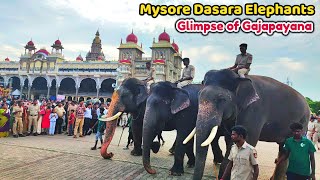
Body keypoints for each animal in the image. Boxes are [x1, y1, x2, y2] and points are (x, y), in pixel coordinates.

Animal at [184, 69, 312, 180]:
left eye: (221, 99)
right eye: (199, 96)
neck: (239, 78)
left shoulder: (254, 111)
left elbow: (248, 139)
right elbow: (230, 140)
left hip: (303, 121)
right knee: (284, 149)